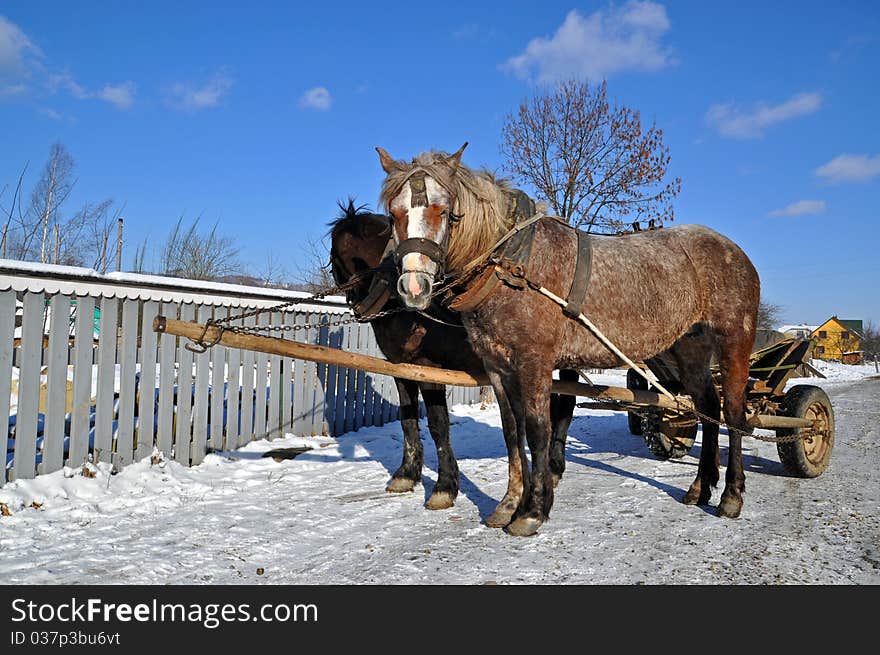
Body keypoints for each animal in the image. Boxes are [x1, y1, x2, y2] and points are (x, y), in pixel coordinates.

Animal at [326, 200, 580, 516]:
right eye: (339, 256)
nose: (363, 308)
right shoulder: (402, 368)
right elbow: (407, 419)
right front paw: (406, 474)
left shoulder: (429, 368)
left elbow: (437, 425)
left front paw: (444, 487)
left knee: (565, 404)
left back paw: (554, 467)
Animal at [374, 146, 760, 536]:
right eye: (394, 214)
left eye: (443, 209)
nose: (414, 287)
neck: (515, 266)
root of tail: (734, 251)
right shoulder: (497, 366)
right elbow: (512, 431)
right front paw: (509, 504)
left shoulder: (535, 362)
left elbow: (538, 429)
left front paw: (533, 510)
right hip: (689, 349)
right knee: (708, 407)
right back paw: (700, 486)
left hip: (735, 340)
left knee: (734, 413)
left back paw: (731, 494)